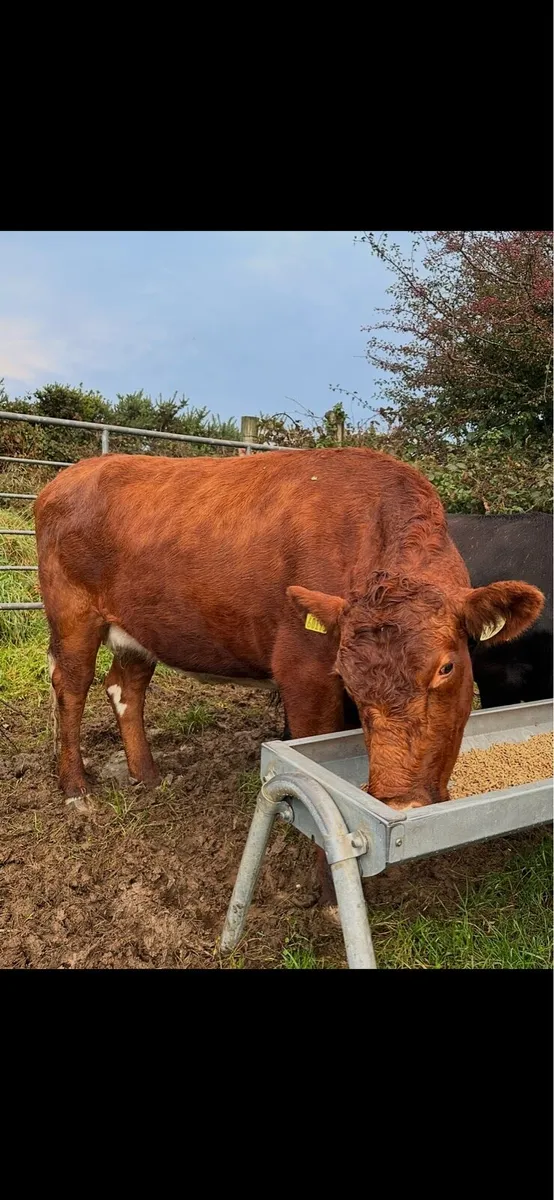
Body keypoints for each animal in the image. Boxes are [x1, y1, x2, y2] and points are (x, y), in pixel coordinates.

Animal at [34, 449, 543, 905]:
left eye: (446, 667)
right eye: (346, 677)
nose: (401, 804)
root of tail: (73, 473)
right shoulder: (305, 675)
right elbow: (320, 787)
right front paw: (334, 898)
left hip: (138, 631)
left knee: (126, 688)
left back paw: (149, 776)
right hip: (73, 615)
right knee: (72, 688)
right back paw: (76, 789)